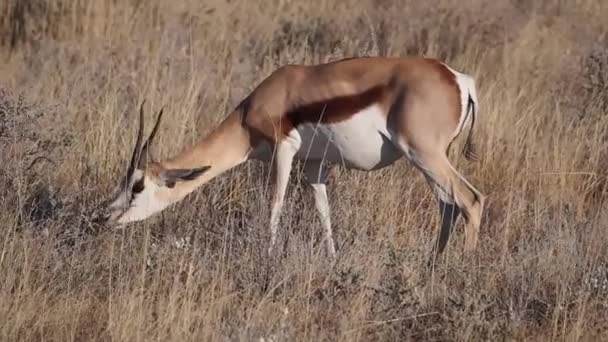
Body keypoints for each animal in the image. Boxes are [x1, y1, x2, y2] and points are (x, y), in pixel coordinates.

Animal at [103, 55, 484, 260]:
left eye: (137, 186)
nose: (107, 216)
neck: (253, 109)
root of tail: (459, 79)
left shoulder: (283, 150)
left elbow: (275, 205)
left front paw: (268, 259)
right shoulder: (314, 166)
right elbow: (324, 214)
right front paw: (333, 262)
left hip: (424, 154)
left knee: (471, 199)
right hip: (427, 161)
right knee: (448, 206)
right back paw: (433, 266)